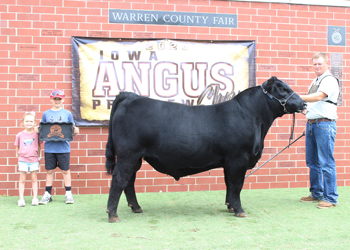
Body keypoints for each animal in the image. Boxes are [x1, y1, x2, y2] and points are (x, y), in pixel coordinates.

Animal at [104, 76, 306, 223]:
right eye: (283, 89)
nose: (304, 103)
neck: (252, 117)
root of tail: (131, 96)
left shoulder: (229, 162)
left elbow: (229, 185)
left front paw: (230, 206)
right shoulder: (238, 159)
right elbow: (237, 185)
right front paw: (239, 210)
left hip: (135, 158)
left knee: (129, 182)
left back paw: (136, 208)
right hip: (128, 155)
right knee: (119, 179)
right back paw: (113, 215)